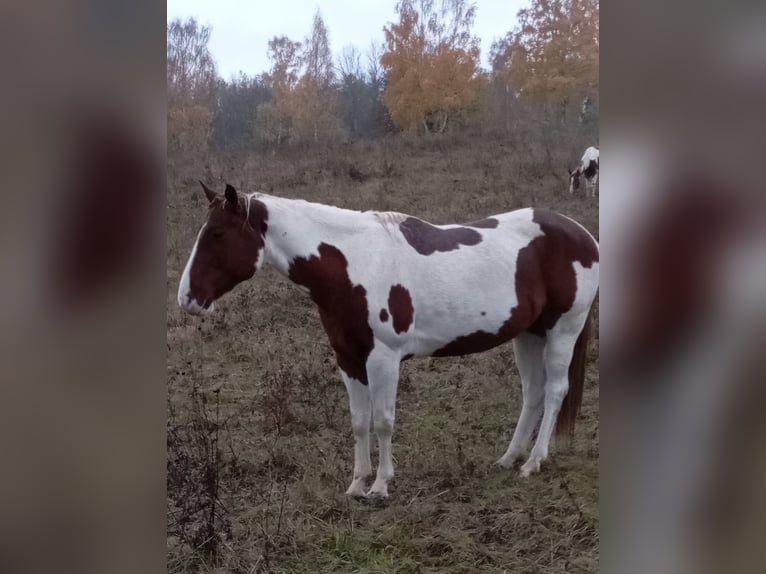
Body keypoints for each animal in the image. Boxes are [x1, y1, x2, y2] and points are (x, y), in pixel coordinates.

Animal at [178, 184, 600, 500]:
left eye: (217, 234)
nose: (187, 299)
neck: (354, 265)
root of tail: (584, 236)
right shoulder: (348, 358)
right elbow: (359, 421)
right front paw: (357, 484)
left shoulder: (383, 359)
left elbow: (382, 421)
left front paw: (381, 485)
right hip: (528, 334)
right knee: (533, 393)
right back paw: (510, 459)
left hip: (563, 330)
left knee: (555, 391)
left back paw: (533, 463)